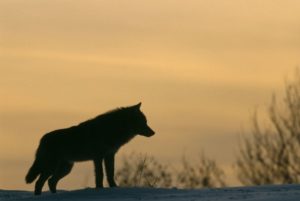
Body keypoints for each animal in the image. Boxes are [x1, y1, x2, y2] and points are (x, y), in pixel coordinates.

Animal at [25, 103, 155, 194]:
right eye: (143, 122)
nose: (153, 132)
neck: (112, 129)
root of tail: (42, 139)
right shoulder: (98, 157)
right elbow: (100, 175)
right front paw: (99, 189)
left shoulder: (109, 155)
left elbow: (110, 174)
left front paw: (114, 188)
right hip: (51, 167)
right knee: (39, 183)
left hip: (65, 169)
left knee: (51, 182)